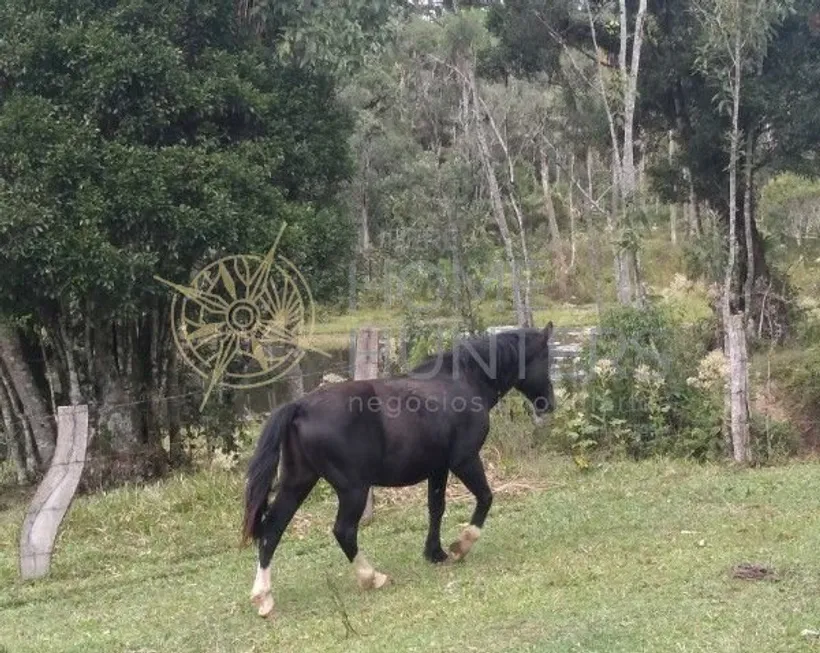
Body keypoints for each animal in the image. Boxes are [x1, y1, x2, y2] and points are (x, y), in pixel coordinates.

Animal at [240, 320, 556, 616]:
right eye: (545, 357)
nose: (549, 404)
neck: (461, 382)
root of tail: (300, 407)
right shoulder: (465, 460)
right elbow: (485, 498)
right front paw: (461, 545)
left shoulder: (438, 469)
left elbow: (436, 508)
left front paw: (435, 553)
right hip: (353, 489)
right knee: (343, 531)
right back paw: (372, 577)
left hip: (298, 482)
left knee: (272, 529)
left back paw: (263, 598)